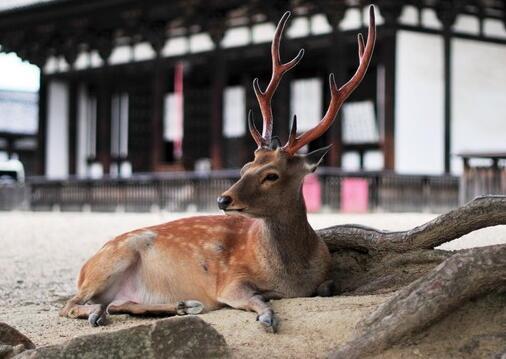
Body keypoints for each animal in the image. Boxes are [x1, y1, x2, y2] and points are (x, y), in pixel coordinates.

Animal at [60, 6, 376, 334]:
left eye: (271, 175)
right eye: (245, 166)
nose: (223, 199)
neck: (291, 277)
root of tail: (83, 268)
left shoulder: (324, 277)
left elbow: (328, 287)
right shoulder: (229, 280)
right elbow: (257, 298)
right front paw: (267, 317)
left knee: (119, 303)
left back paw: (180, 305)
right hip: (113, 258)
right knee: (70, 305)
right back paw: (101, 313)